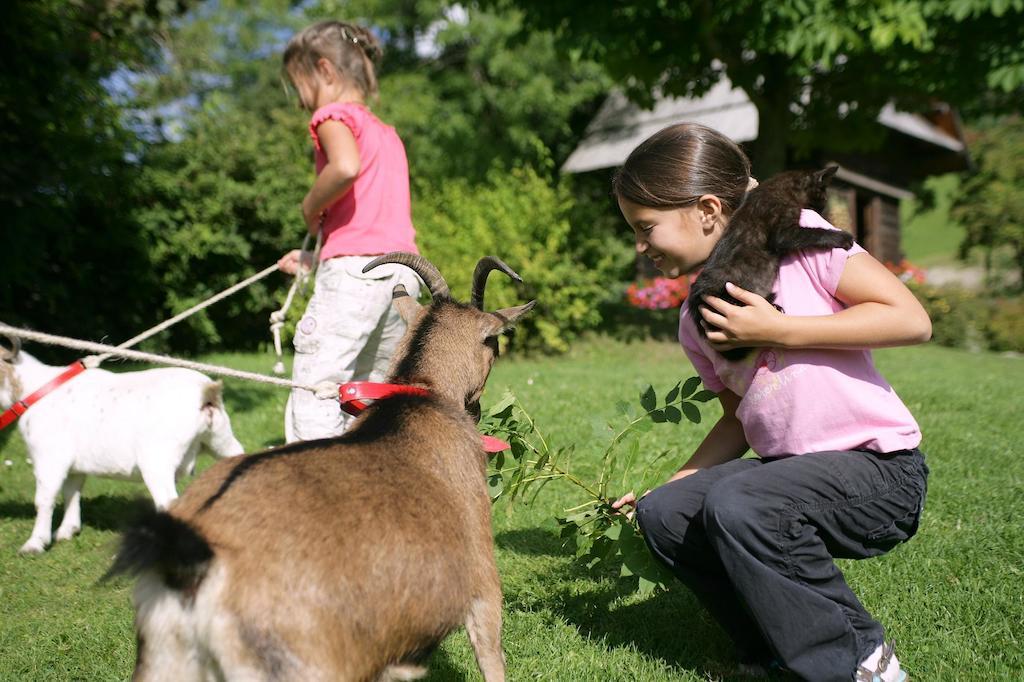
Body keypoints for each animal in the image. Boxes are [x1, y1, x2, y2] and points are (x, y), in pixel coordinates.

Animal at [0, 339, 245, 552]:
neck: (35, 389)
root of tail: (206, 392)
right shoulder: (75, 465)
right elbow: (72, 491)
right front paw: (66, 531)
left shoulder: (49, 457)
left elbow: (44, 499)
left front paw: (34, 544)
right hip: (221, 439)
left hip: (156, 461)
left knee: (167, 501)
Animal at [692, 164, 851, 360]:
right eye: (822, 199)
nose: (820, 211)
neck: (778, 188)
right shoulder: (784, 232)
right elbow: (814, 232)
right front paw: (842, 237)